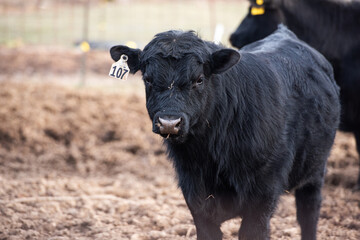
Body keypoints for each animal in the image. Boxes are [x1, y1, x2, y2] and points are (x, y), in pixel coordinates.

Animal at [110, 25, 340, 239]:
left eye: (199, 79)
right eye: (148, 79)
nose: (169, 122)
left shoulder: (263, 196)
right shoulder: (195, 195)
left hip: (315, 171)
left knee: (308, 213)